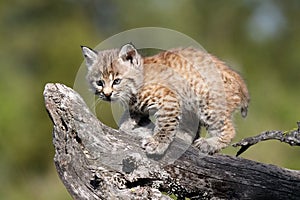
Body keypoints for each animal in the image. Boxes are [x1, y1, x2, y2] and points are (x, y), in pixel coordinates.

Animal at [81, 43, 250, 155]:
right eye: (99, 83)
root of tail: (240, 79)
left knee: (229, 129)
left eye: (117, 81)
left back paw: (208, 144)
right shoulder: (136, 107)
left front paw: (157, 143)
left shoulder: (169, 99)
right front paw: (138, 129)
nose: (107, 94)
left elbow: (166, 124)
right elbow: (125, 123)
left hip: (206, 103)